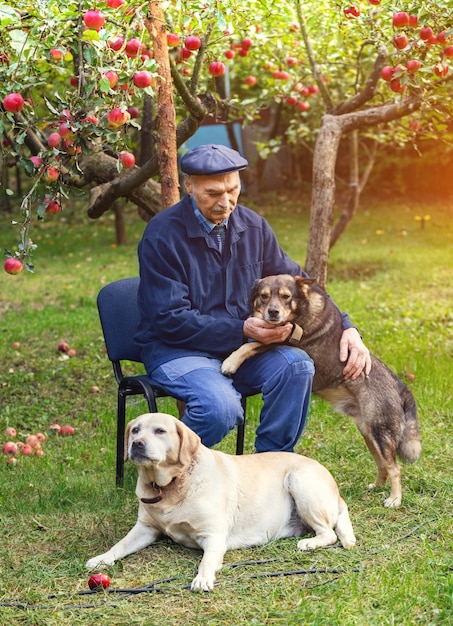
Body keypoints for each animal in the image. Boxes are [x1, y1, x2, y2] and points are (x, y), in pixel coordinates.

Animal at [221, 274, 422, 508]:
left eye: (286, 297)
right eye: (263, 296)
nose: (273, 312)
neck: (303, 307)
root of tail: (400, 386)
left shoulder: (282, 338)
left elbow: (250, 345)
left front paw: (230, 361)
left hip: (381, 432)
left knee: (394, 468)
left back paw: (394, 499)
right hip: (370, 433)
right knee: (383, 464)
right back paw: (376, 486)